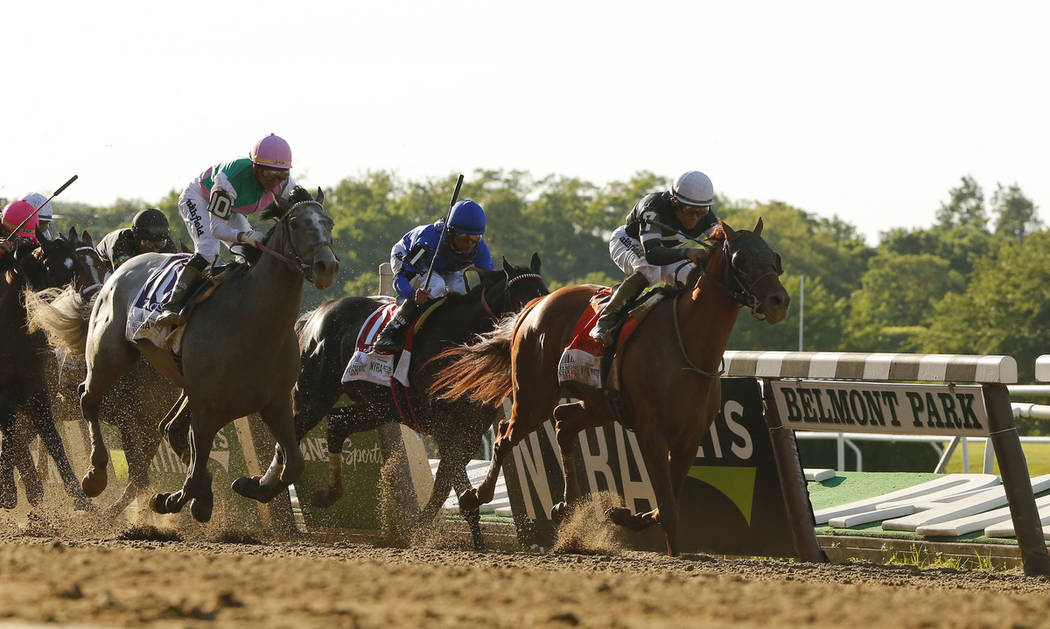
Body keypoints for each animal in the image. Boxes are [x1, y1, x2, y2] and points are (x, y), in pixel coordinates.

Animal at [0, 227, 92, 512]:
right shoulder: (5, 392)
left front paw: (80, 496)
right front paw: (8, 491)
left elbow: (50, 434)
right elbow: (11, 430)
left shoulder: (35, 385)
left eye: (77, 268)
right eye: (51, 269)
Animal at [30, 191, 338, 520]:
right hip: (109, 357)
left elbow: (294, 464)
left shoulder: (275, 404)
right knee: (88, 398)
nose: (327, 266)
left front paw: (249, 486)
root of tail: (118, 276)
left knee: (168, 429)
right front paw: (172, 500)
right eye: (295, 223)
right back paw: (94, 477)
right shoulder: (204, 409)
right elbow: (185, 473)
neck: (253, 322)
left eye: (329, 223)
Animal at [291, 253, 546, 550]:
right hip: (314, 395)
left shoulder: (469, 432)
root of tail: (313, 315)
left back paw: (328, 494)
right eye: (520, 299)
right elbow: (449, 485)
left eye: (544, 293)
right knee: (294, 431)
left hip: (379, 408)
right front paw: (423, 532)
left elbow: (444, 486)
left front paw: (448, 533)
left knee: (336, 423)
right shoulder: (445, 430)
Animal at [432, 221, 789, 554]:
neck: (687, 343)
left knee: (562, 422)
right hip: (535, 397)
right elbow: (667, 508)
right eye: (741, 258)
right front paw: (667, 547)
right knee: (506, 433)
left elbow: (666, 505)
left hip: (599, 404)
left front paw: (625, 516)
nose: (779, 302)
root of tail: (535, 305)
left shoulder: (689, 437)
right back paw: (475, 495)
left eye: (774, 257)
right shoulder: (651, 432)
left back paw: (566, 505)